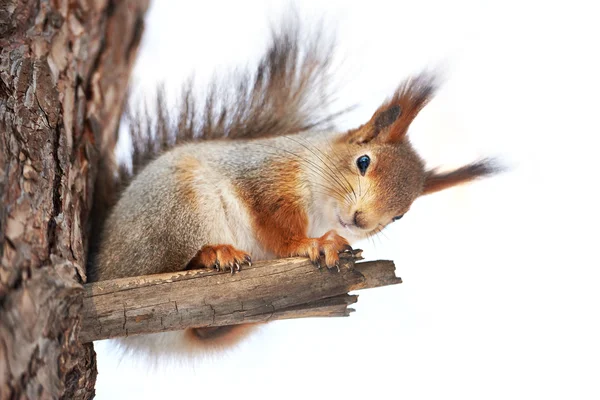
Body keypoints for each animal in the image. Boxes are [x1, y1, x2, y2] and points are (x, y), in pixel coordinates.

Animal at [89, 24, 500, 356]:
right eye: (363, 161)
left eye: (400, 215)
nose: (360, 220)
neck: (320, 208)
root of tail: (104, 264)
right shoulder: (267, 179)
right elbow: (276, 227)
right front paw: (311, 245)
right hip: (175, 211)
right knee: (162, 268)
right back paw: (213, 253)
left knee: (208, 330)